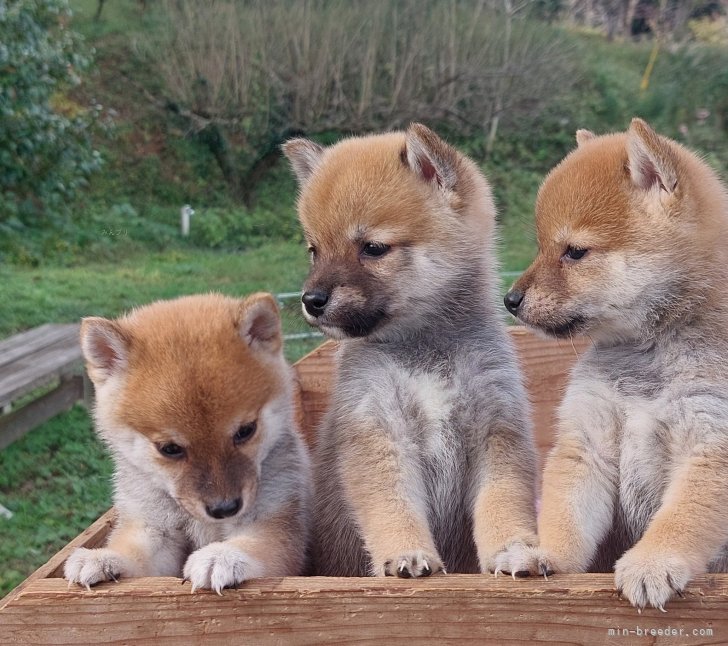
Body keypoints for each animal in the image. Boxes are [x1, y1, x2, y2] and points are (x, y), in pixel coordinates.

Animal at [64, 296, 312, 596]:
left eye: (245, 431)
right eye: (169, 449)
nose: (224, 508)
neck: (203, 523)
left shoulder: (274, 523)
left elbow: (256, 547)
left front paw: (222, 556)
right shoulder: (155, 528)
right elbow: (135, 552)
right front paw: (103, 557)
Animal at [282, 124, 536, 580]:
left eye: (373, 248)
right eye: (314, 250)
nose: (311, 300)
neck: (425, 352)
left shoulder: (497, 428)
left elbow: (502, 504)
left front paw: (513, 549)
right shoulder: (378, 431)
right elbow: (393, 508)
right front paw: (406, 552)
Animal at [504, 119, 728, 612]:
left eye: (575, 252)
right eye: (541, 246)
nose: (509, 300)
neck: (647, 352)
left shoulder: (709, 443)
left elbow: (679, 520)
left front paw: (652, 562)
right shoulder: (587, 442)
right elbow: (566, 517)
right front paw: (547, 554)